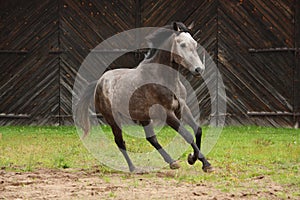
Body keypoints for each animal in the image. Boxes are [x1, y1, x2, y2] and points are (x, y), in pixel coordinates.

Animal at [76, 21, 213, 172]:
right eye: (182, 44)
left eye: (195, 43)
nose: (199, 69)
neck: (163, 78)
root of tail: (99, 82)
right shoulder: (167, 113)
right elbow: (188, 135)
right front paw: (202, 162)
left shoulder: (182, 107)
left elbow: (197, 130)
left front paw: (195, 160)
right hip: (113, 119)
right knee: (120, 142)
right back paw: (134, 168)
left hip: (144, 118)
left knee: (151, 139)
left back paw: (171, 162)